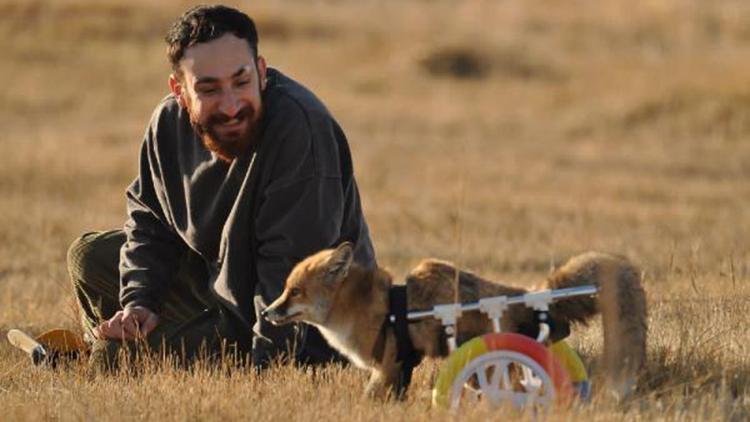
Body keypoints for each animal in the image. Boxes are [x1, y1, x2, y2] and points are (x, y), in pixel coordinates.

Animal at [262, 242, 648, 400]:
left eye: (295, 292)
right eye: (285, 290)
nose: (266, 312)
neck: (374, 307)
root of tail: (531, 293)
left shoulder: (389, 364)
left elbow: (372, 397)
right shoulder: (402, 366)